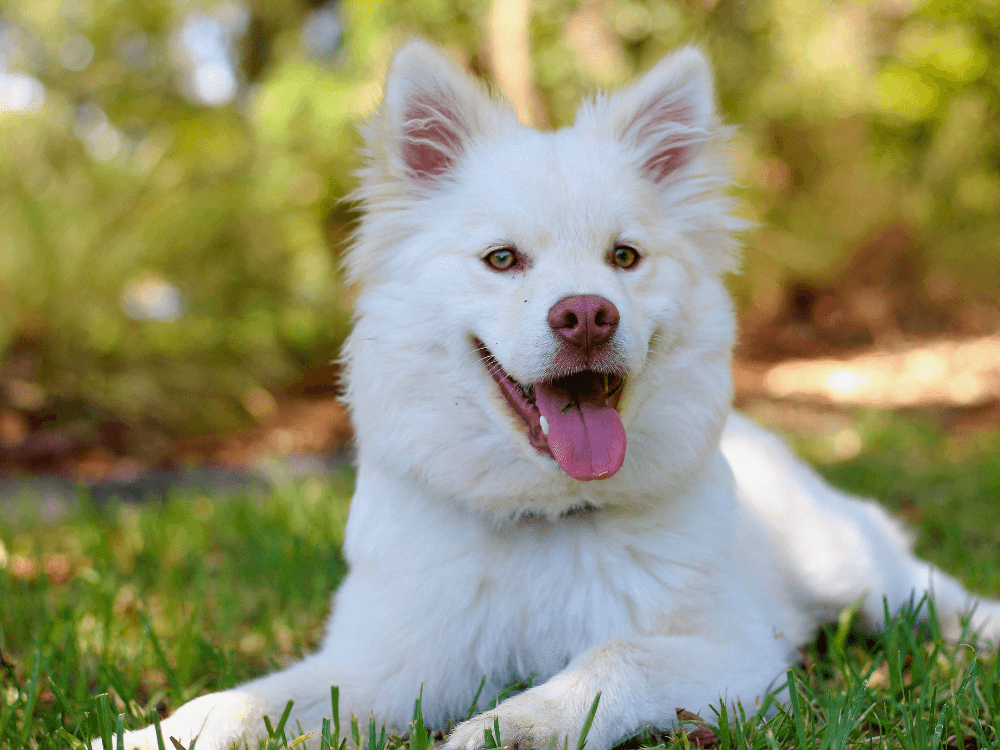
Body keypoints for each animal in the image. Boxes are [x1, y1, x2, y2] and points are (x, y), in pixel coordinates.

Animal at [111, 39, 1000, 750]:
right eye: (503, 260)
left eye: (624, 257)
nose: (586, 315)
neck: (546, 517)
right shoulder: (380, 665)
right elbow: (243, 703)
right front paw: (145, 734)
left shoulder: (737, 654)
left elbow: (611, 659)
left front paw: (513, 726)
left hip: (848, 567)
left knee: (933, 593)